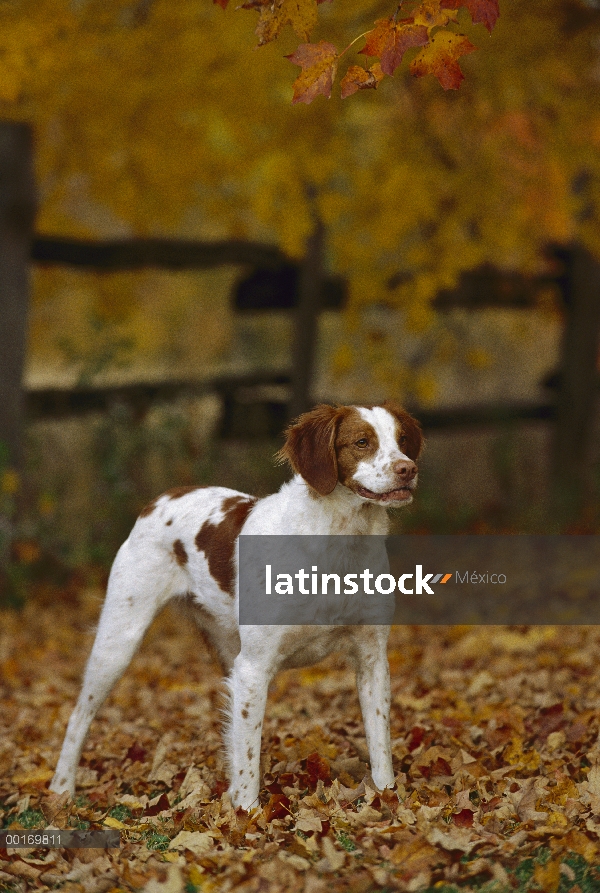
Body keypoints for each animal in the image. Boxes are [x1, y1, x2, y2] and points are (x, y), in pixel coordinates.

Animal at [52, 404, 422, 808]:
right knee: (79, 714)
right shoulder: (253, 667)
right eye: (362, 442)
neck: (340, 545)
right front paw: (247, 814)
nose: (408, 469)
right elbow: (247, 759)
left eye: (403, 440)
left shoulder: (372, 659)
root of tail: (162, 497)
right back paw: (61, 789)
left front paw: (388, 799)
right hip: (119, 641)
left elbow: (380, 745)